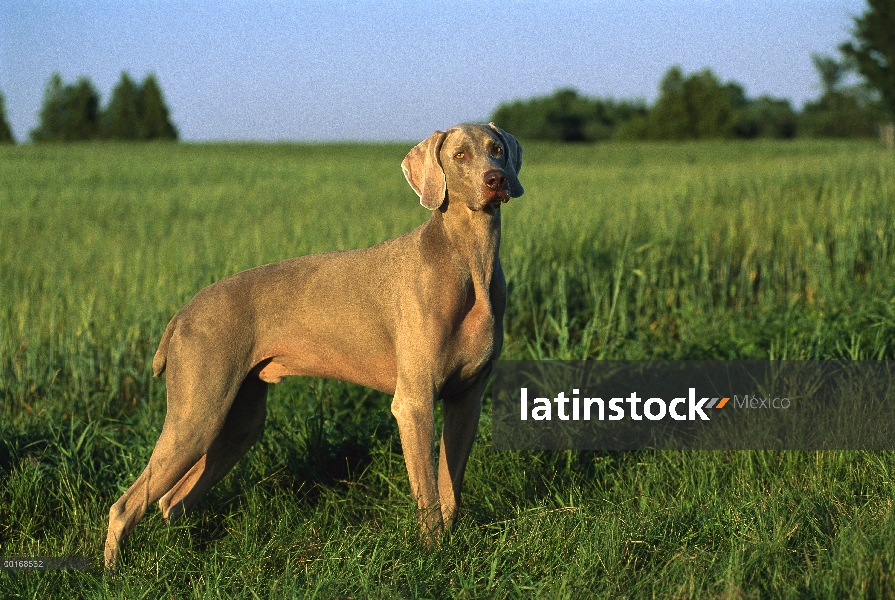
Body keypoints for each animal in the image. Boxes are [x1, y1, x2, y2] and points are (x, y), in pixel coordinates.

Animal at [105, 120, 524, 568]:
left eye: (497, 149)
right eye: (460, 155)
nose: (496, 179)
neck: (469, 260)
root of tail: (181, 315)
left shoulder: (467, 400)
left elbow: (449, 491)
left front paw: (451, 550)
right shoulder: (414, 402)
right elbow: (427, 494)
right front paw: (432, 558)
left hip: (238, 423)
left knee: (173, 501)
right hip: (198, 414)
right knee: (127, 505)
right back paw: (112, 571)